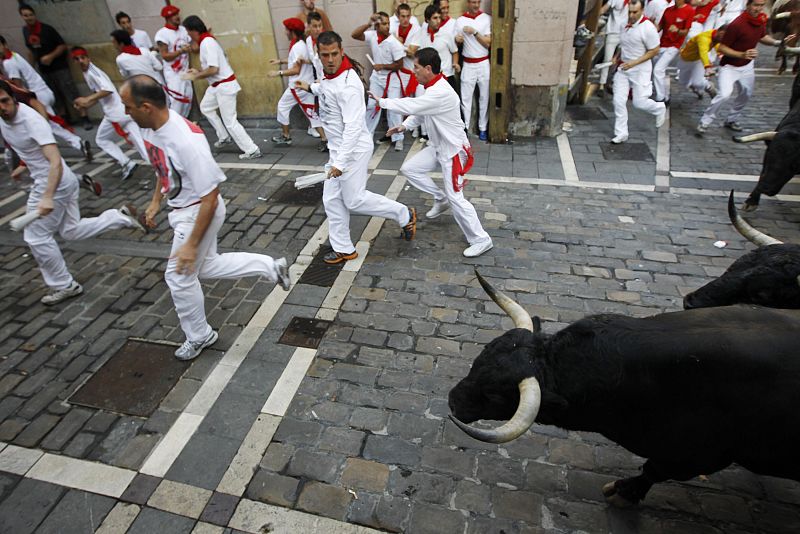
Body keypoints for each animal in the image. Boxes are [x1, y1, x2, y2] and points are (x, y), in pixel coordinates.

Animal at [446, 274, 800, 508]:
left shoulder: (700, 455)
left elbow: (654, 470)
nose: (452, 401)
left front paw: (623, 490)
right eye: (480, 356)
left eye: (495, 395)